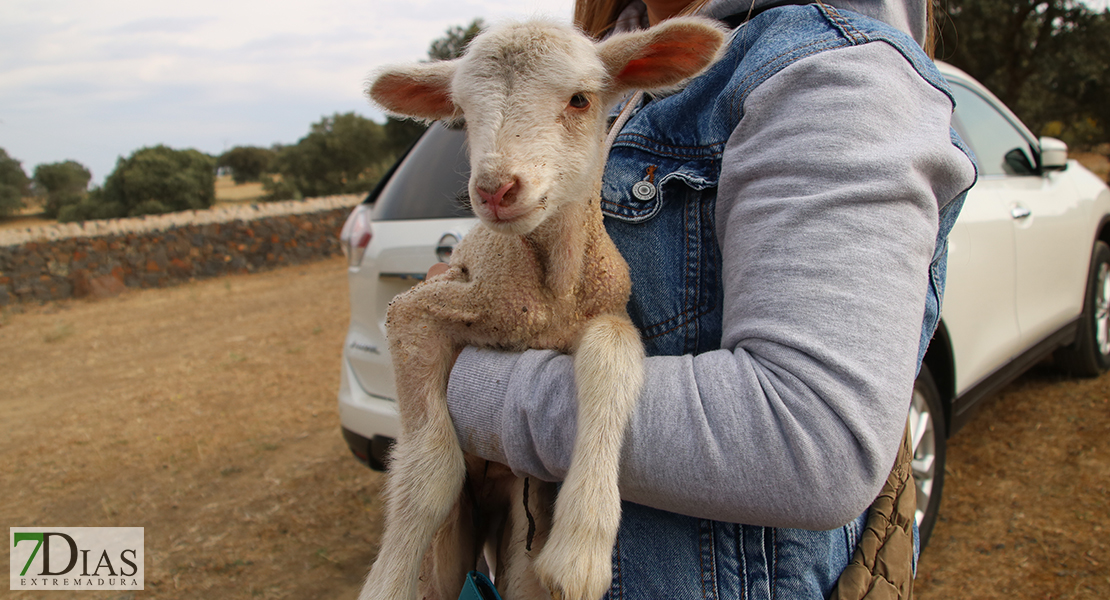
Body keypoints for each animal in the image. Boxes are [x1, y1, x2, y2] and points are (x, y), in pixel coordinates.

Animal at [361, 17, 728, 598]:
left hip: (518, 526)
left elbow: (611, 355)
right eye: (463, 115)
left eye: (580, 100)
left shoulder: (607, 311)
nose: (496, 189)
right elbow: (428, 475)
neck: (550, 297)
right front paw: (388, 582)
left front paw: (581, 551)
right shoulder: (423, 310)